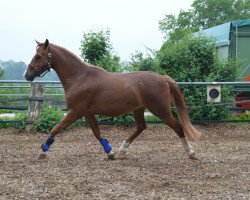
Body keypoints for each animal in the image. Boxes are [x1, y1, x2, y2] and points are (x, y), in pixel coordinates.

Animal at [24, 39, 200, 160]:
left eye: (38, 56)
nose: (27, 75)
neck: (79, 77)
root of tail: (163, 78)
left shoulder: (75, 112)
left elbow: (55, 129)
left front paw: (42, 151)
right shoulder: (87, 113)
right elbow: (97, 133)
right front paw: (110, 152)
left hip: (160, 110)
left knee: (178, 127)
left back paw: (191, 152)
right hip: (139, 109)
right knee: (141, 127)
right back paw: (122, 149)